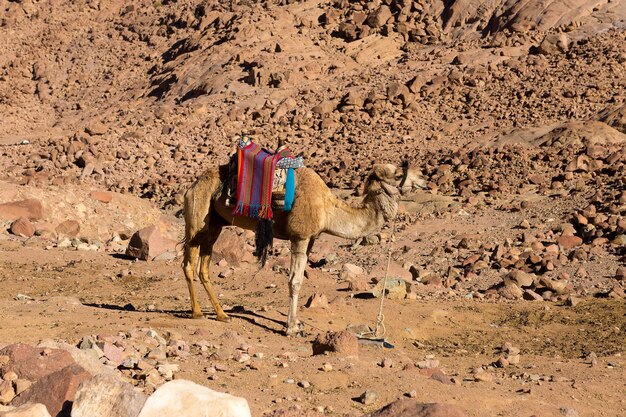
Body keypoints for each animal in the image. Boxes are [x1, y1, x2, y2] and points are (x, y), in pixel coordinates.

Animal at [180, 160, 424, 334]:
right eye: (397, 174)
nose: (422, 177)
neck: (328, 209)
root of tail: (192, 186)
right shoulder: (300, 237)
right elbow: (294, 281)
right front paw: (291, 328)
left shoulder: (311, 240)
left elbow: (300, 279)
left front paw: (297, 323)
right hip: (197, 218)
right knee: (189, 263)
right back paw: (197, 312)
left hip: (215, 224)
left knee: (204, 267)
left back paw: (222, 314)